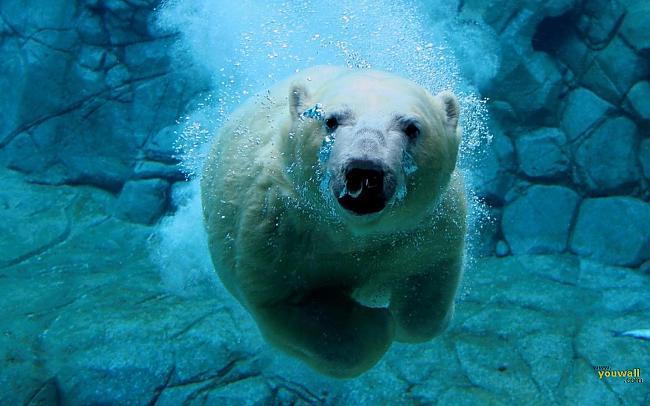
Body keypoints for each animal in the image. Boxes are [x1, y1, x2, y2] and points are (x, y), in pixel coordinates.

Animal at [200, 66, 464, 378]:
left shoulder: (427, 225)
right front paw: (377, 323)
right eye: (331, 120)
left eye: (412, 127)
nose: (365, 171)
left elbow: (429, 282)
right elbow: (292, 307)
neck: (352, 232)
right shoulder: (276, 229)